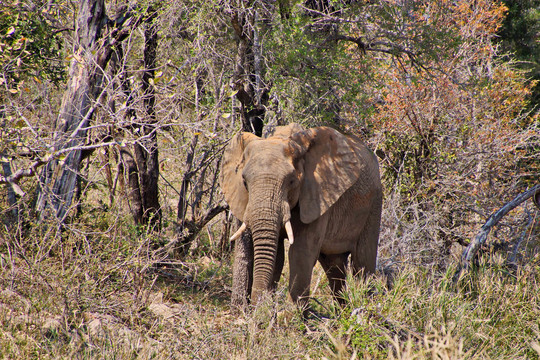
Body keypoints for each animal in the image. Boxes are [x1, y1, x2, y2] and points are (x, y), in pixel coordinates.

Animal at [220, 123, 384, 310]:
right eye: (244, 182)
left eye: (291, 181)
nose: (254, 305)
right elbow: (277, 257)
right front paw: (266, 313)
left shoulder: (317, 196)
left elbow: (300, 252)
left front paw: (289, 316)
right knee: (334, 266)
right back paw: (342, 312)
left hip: (374, 202)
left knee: (363, 264)